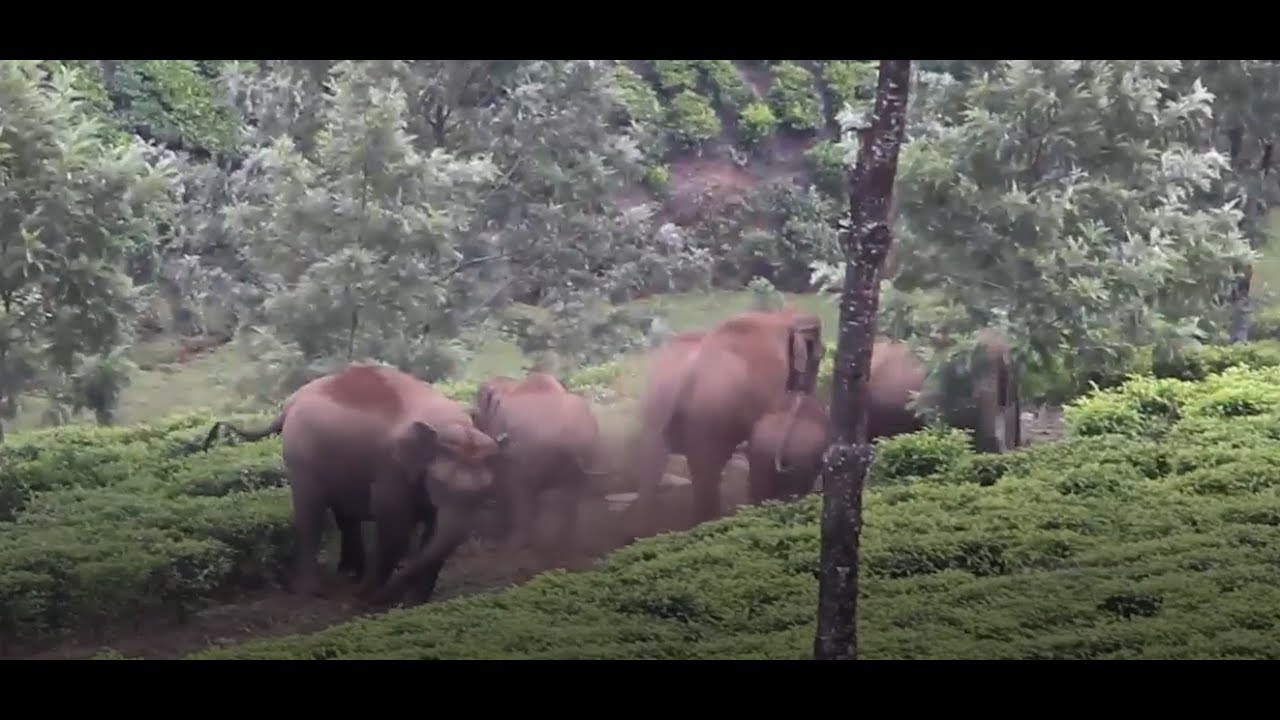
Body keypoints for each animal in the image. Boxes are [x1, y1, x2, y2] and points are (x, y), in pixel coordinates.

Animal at [201, 363, 511, 608]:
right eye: (441, 485)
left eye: (485, 494)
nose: (357, 599)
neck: (451, 426)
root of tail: (290, 402)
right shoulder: (391, 469)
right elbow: (394, 527)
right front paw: (370, 599)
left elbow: (434, 534)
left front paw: (415, 603)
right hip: (300, 456)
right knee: (311, 514)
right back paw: (317, 591)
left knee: (345, 515)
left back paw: (350, 575)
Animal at [469, 372, 610, 563]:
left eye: (474, 415)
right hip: (585, 454)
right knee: (570, 497)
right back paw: (563, 551)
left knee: (521, 495)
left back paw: (512, 548)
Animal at [627, 307, 825, 539]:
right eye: (819, 356)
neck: (781, 317)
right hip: (709, 416)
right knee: (708, 470)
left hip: (655, 407)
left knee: (653, 464)